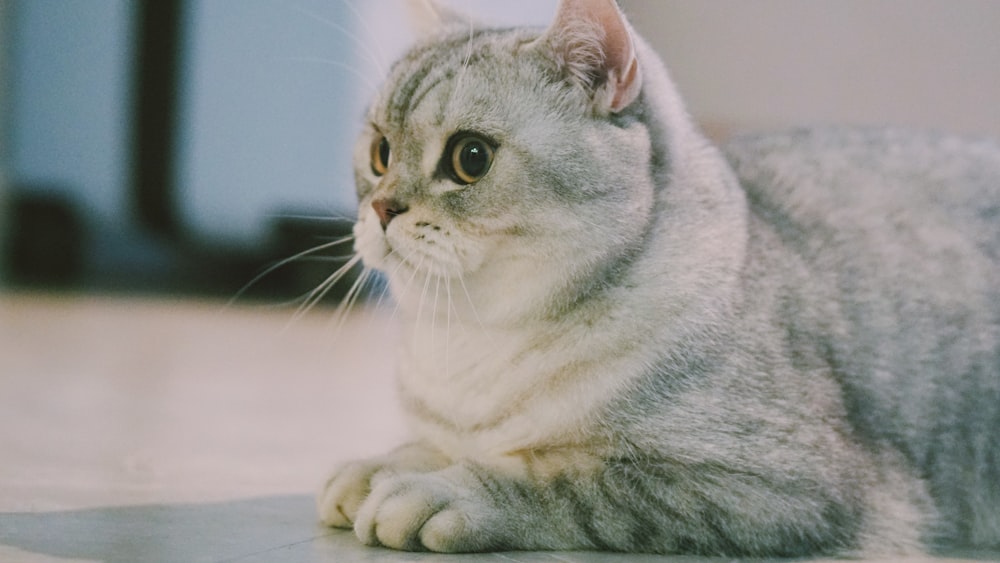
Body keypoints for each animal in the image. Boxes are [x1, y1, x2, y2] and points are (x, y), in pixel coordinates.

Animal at [318, 0, 1000, 556]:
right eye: (379, 153)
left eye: (471, 158)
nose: (382, 209)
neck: (470, 339)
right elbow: (435, 444)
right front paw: (383, 464)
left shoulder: (785, 486)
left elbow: (570, 479)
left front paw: (446, 489)